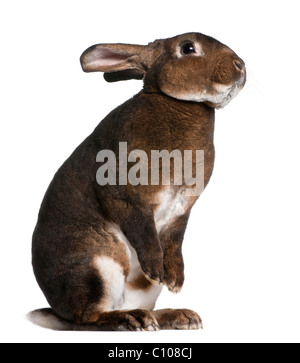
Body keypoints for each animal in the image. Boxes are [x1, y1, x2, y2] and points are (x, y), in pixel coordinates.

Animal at [28, 32, 246, 332]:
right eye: (188, 48)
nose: (240, 66)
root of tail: (58, 311)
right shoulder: (127, 200)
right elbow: (144, 233)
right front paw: (157, 270)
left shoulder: (181, 211)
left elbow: (174, 242)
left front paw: (174, 280)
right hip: (96, 269)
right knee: (87, 318)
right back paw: (131, 319)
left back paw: (177, 316)